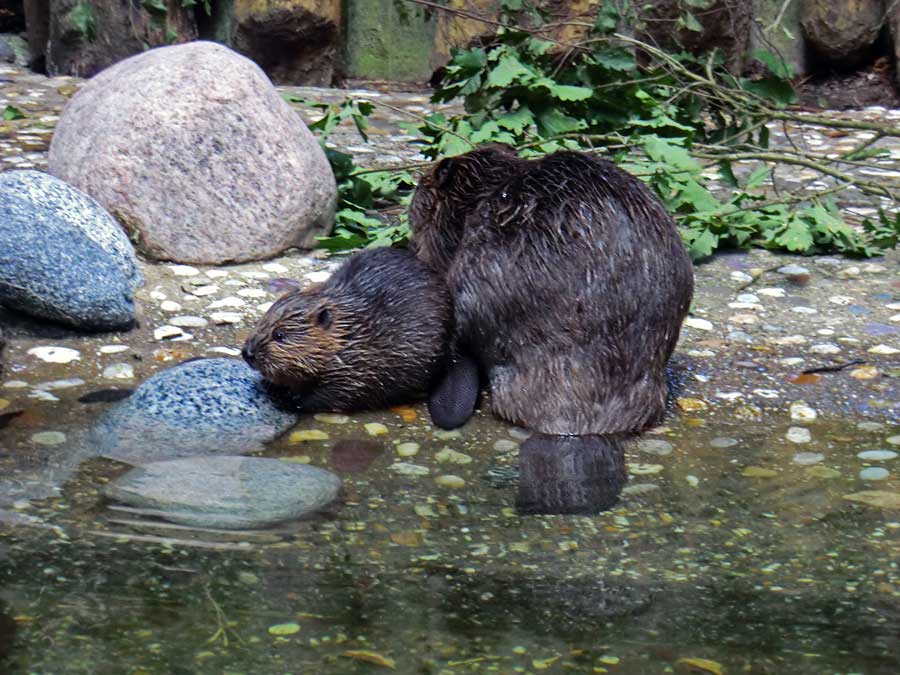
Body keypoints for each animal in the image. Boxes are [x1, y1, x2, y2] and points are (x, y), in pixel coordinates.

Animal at [241, 248, 460, 414]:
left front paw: (288, 399)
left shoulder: (363, 367)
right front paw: (272, 386)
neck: (351, 331)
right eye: (261, 321)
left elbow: (336, 394)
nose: (247, 353)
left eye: (280, 335)